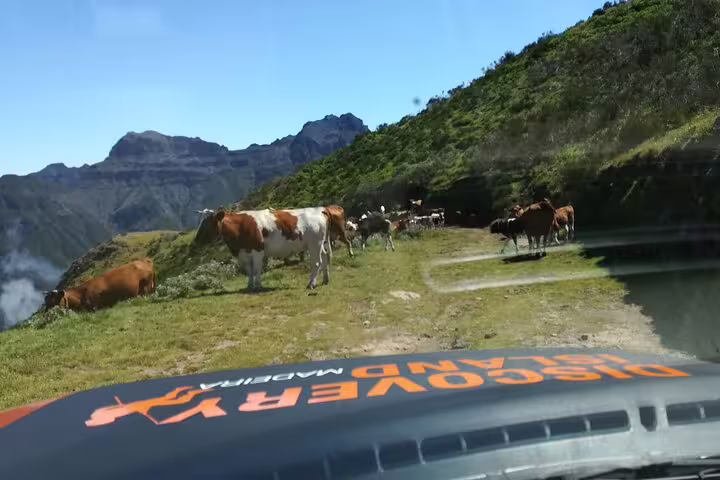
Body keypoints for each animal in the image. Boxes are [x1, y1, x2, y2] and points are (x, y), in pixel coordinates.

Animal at [194, 207, 331, 290]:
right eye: (200, 222)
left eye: (209, 223)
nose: (196, 241)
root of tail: (319, 210)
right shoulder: (244, 253)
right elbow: (249, 270)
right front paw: (249, 286)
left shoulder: (258, 250)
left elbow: (256, 269)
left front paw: (258, 286)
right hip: (320, 243)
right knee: (325, 257)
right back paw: (325, 280)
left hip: (314, 244)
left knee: (316, 262)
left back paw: (311, 284)